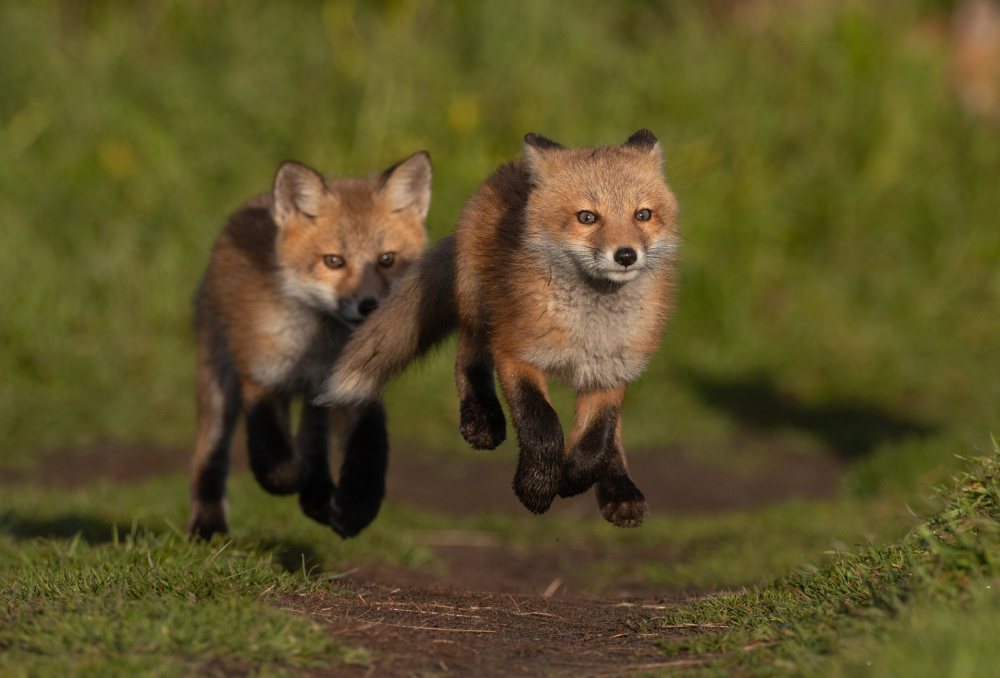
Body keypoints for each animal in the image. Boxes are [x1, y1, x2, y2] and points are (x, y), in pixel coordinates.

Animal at [188, 151, 432, 540]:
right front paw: (290, 477)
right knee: (210, 453)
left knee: (314, 439)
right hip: (217, 379)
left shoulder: (356, 386)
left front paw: (356, 506)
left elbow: (370, 449)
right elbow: (272, 453)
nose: (369, 306)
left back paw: (317, 494)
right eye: (333, 261)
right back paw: (208, 525)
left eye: (387, 259)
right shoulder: (260, 376)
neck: (320, 347)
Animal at [321, 130, 679, 527]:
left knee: (613, 434)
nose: (626, 255)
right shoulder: (515, 352)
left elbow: (596, 441)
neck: (589, 328)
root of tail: (509, 168)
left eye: (643, 214)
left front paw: (573, 478)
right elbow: (541, 422)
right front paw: (536, 486)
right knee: (469, 357)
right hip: (478, 306)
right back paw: (481, 417)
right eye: (587, 217)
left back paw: (619, 487)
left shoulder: (610, 372)